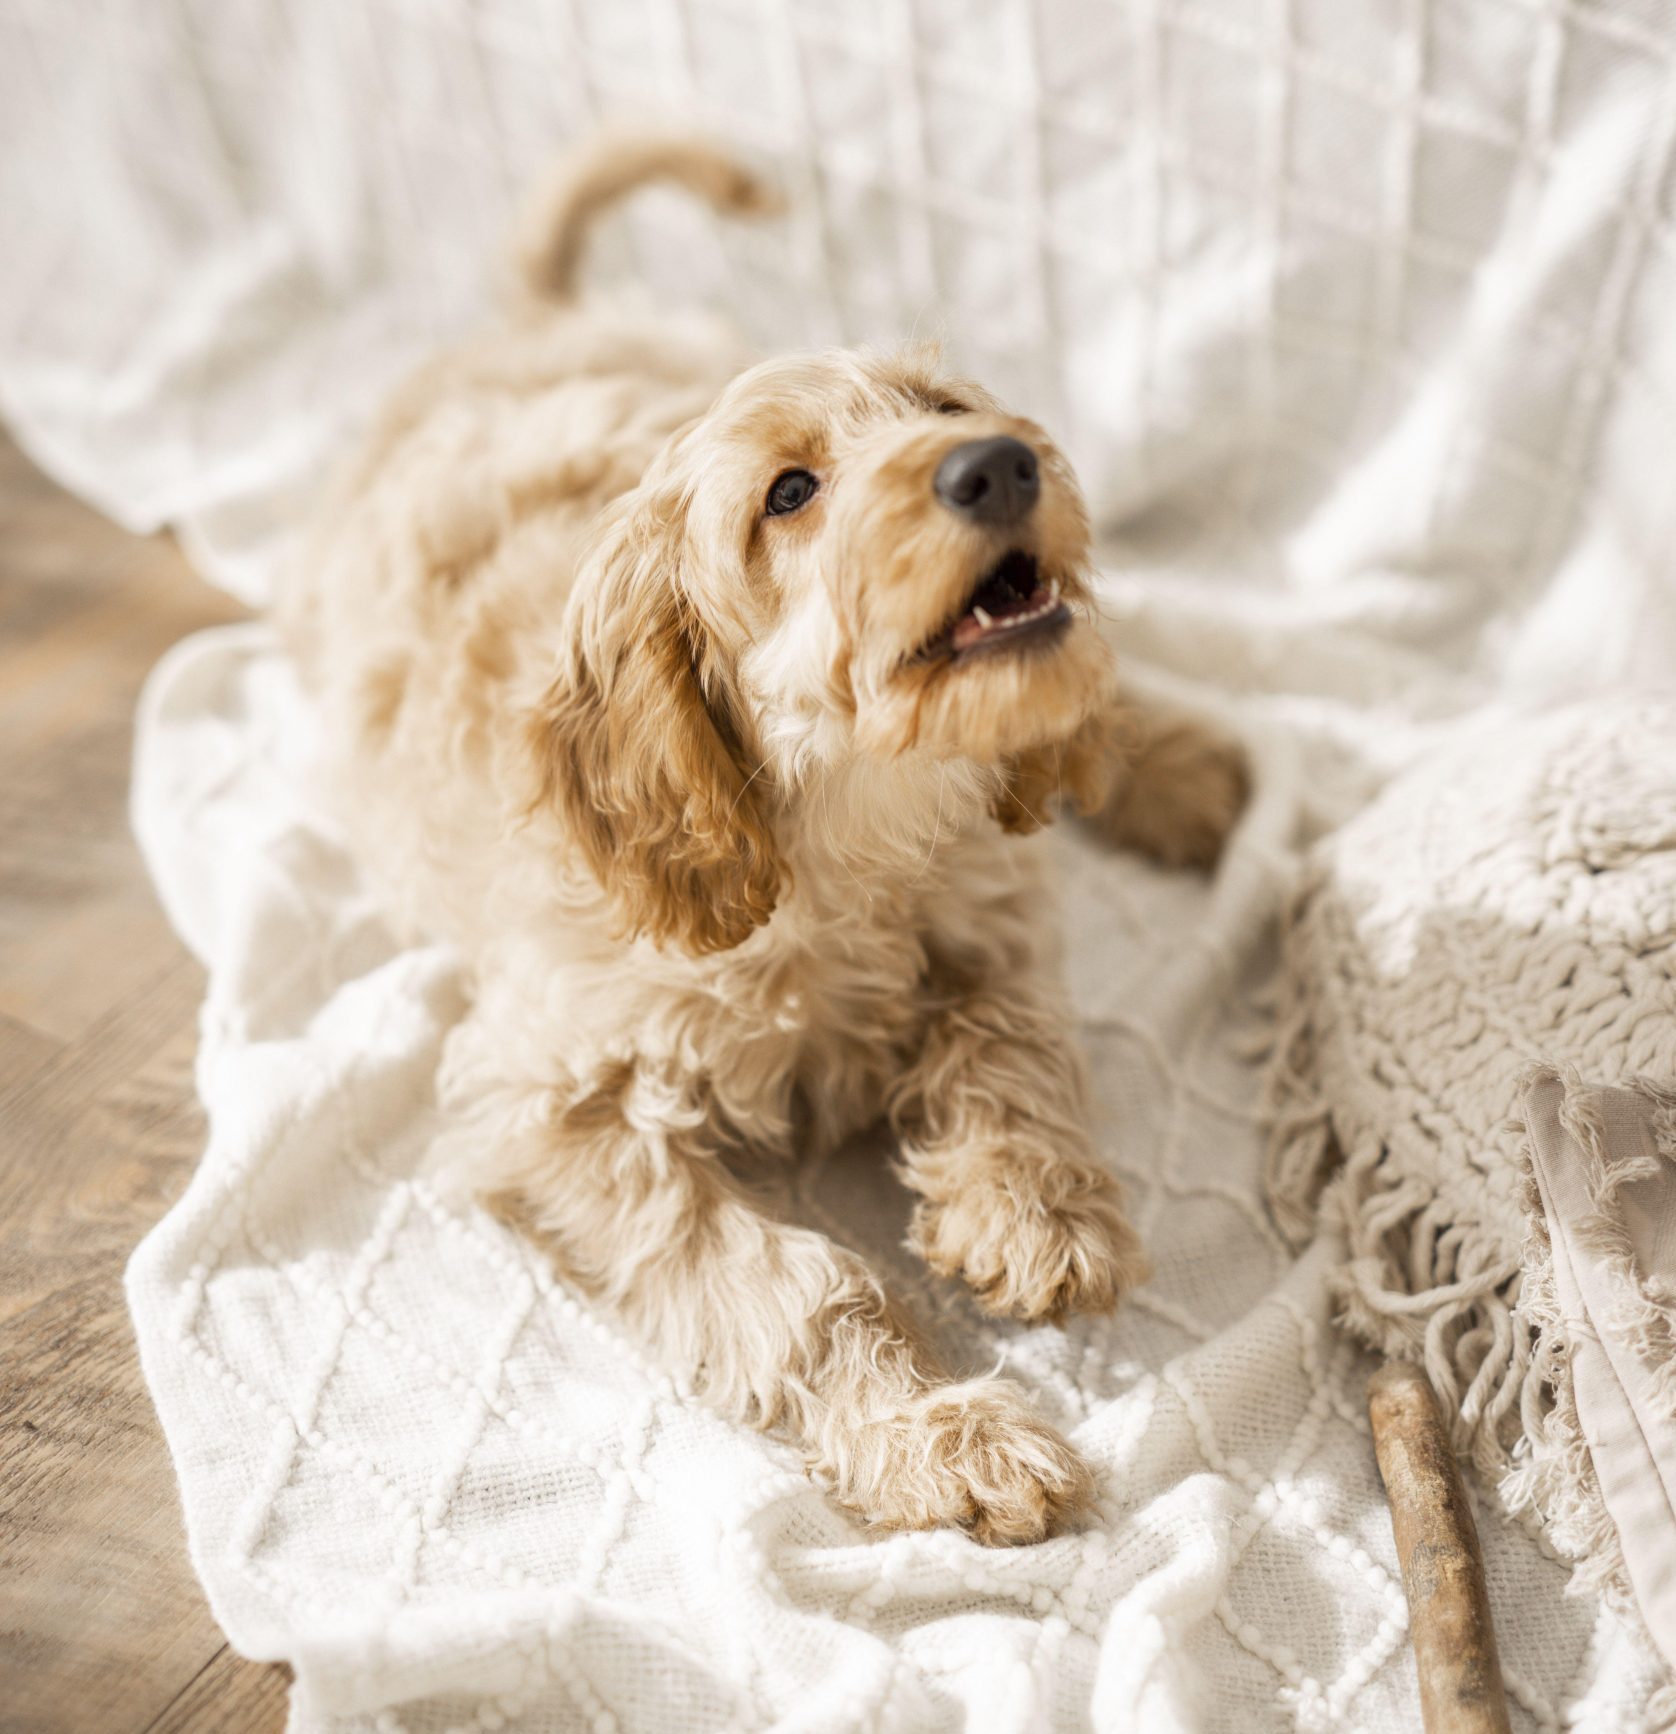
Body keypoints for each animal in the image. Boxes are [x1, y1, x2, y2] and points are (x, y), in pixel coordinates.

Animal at [279, 135, 1247, 1546]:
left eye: (942, 406)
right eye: (788, 493)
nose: (999, 464)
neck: (843, 830)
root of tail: (530, 322)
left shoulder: (997, 908)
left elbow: (1011, 1037)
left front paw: (1031, 1204)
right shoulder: (549, 1108)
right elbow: (791, 1283)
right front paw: (939, 1437)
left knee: (1090, 695)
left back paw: (1185, 771)